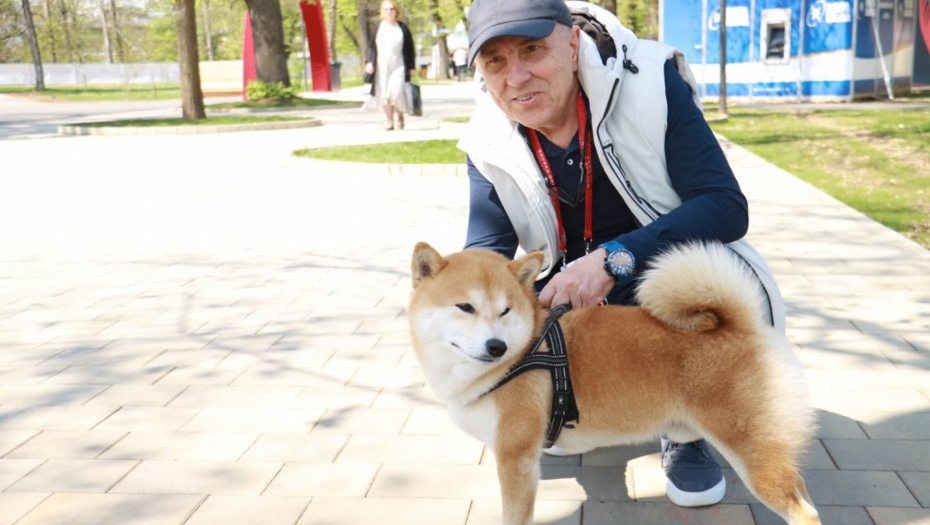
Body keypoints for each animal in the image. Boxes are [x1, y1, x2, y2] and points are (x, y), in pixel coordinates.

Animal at [406, 242, 820, 524]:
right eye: (465, 307)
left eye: (505, 310)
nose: (497, 346)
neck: (525, 351)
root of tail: (741, 327)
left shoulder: (515, 458)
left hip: (750, 451)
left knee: (803, 511)